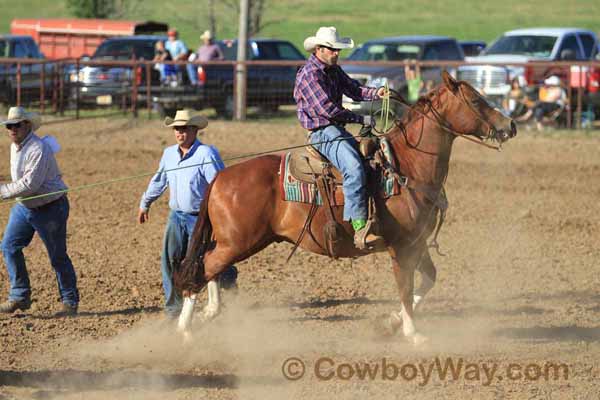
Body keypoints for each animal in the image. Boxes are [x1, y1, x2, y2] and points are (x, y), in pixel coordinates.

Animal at [173, 72, 516, 344]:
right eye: (476, 100)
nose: (510, 125)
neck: (408, 166)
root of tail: (220, 176)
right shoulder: (401, 246)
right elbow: (405, 288)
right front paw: (413, 333)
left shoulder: (417, 242)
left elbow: (428, 279)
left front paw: (390, 323)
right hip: (239, 241)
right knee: (205, 267)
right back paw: (185, 328)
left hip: (234, 241)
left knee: (209, 266)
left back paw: (207, 313)